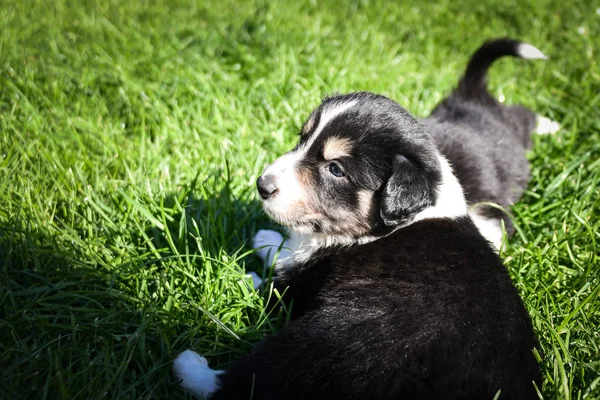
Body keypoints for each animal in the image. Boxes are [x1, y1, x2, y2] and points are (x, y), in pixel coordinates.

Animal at [171, 38, 548, 400]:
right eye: (302, 138)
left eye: (336, 168)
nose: (262, 185)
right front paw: (267, 239)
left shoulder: (302, 285)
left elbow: (273, 281)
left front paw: (239, 270)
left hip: (329, 342)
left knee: (252, 380)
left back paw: (189, 366)